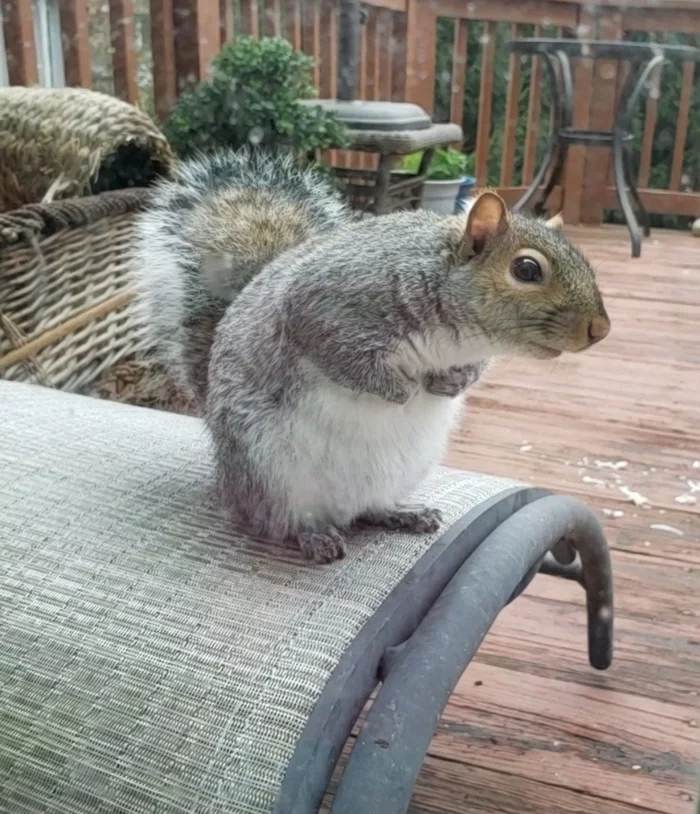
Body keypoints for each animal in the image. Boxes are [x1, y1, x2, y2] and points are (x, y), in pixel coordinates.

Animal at [134, 150, 608, 564]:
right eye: (527, 270)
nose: (600, 330)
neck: (458, 335)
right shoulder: (325, 309)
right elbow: (344, 358)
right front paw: (401, 389)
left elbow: (473, 369)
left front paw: (449, 383)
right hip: (270, 473)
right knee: (279, 522)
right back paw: (314, 536)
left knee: (368, 508)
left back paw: (402, 513)